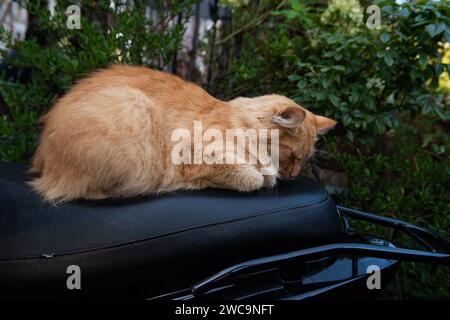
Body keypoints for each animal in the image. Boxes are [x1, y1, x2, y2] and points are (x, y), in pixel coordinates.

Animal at [29, 64, 336, 202]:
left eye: (303, 161)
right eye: (293, 156)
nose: (294, 176)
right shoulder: (199, 155)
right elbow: (253, 178)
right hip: (134, 116)